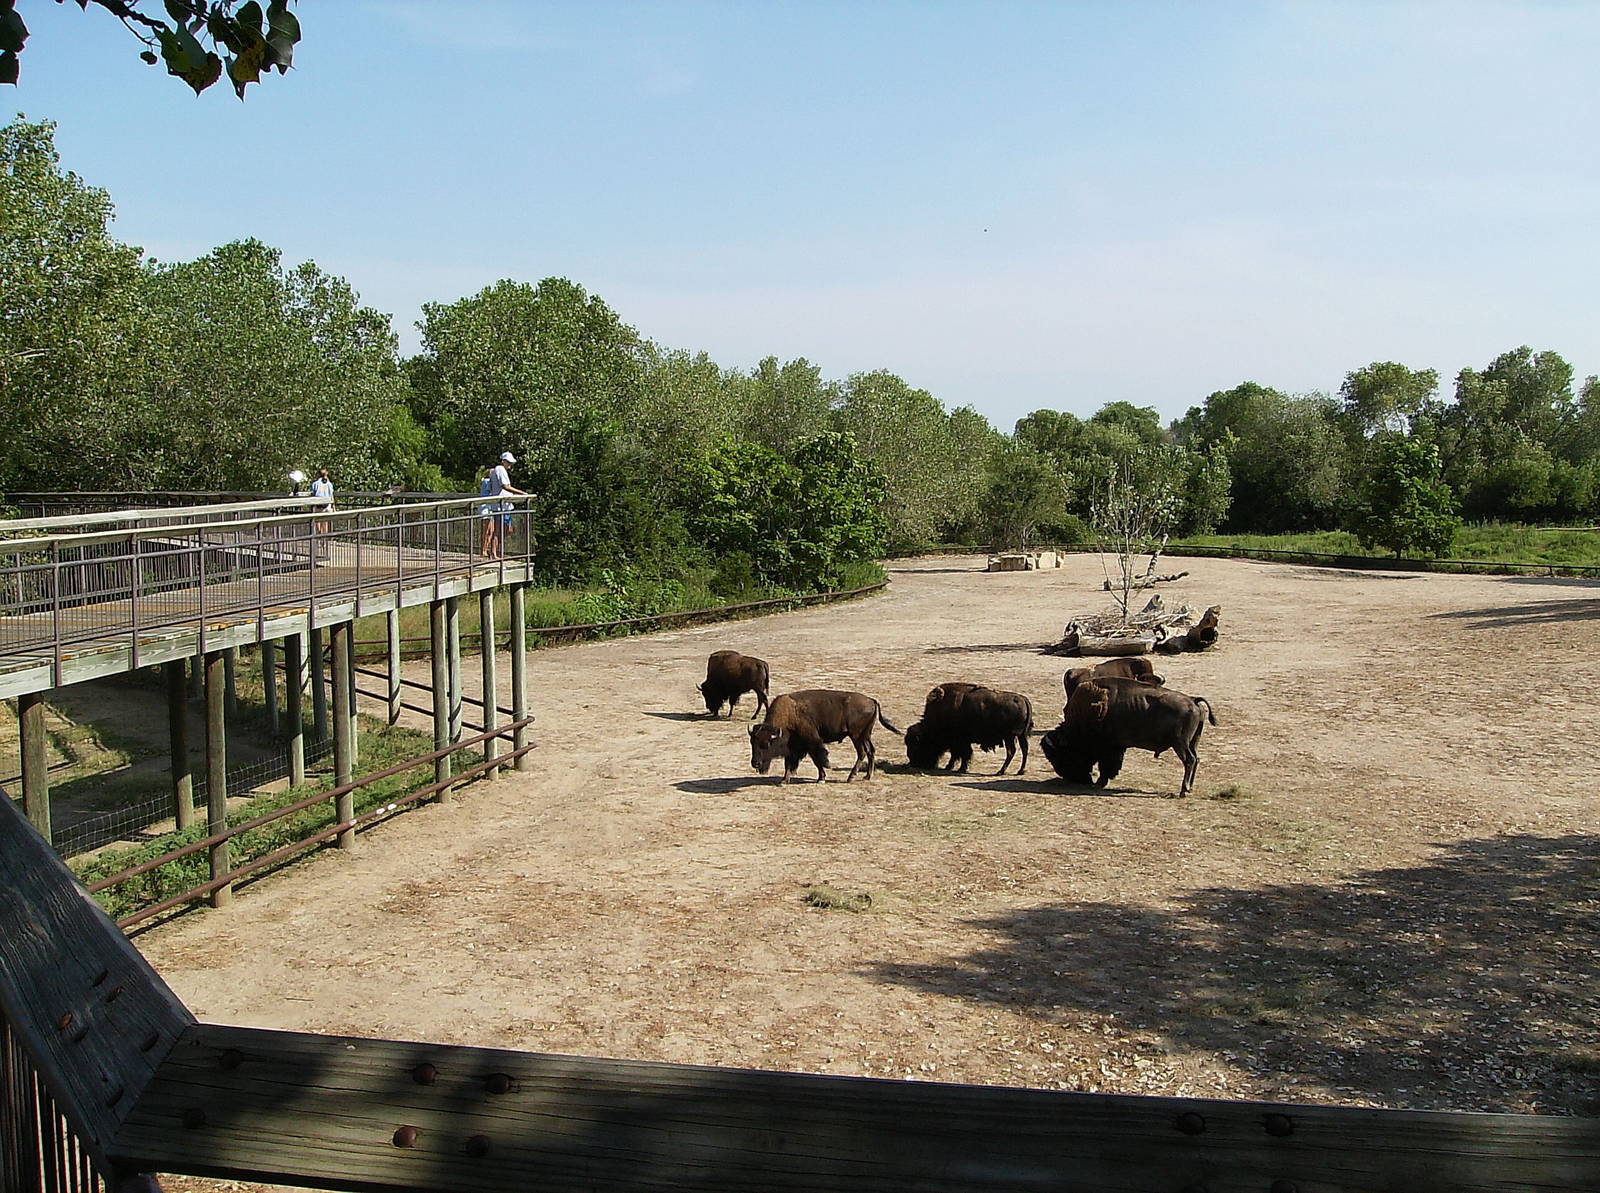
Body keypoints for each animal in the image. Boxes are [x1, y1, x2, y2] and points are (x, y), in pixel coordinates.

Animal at [749, 690, 901, 783]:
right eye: (752, 743)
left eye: (766, 744)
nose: (755, 763)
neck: (790, 713)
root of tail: (871, 700)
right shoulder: (793, 747)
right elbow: (789, 763)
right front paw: (784, 780)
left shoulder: (811, 741)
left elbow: (818, 759)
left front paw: (821, 777)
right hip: (865, 735)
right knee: (870, 751)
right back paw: (867, 776)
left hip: (856, 736)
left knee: (862, 752)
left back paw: (851, 777)